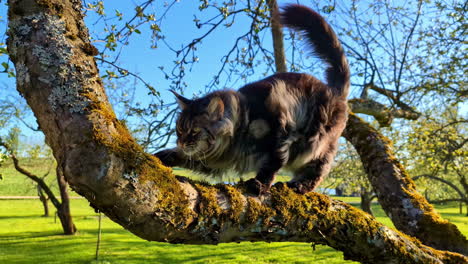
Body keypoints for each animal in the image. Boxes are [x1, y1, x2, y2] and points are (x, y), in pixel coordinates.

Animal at [155, 3, 350, 194]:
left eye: (195, 131)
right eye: (179, 130)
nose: (181, 142)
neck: (242, 121)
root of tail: (334, 90)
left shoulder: (279, 132)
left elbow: (272, 164)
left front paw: (259, 184)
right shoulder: (210, 160)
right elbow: (182, 156)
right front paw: (159, 156)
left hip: (318, 146)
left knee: (318, 172)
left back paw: (299, 186)